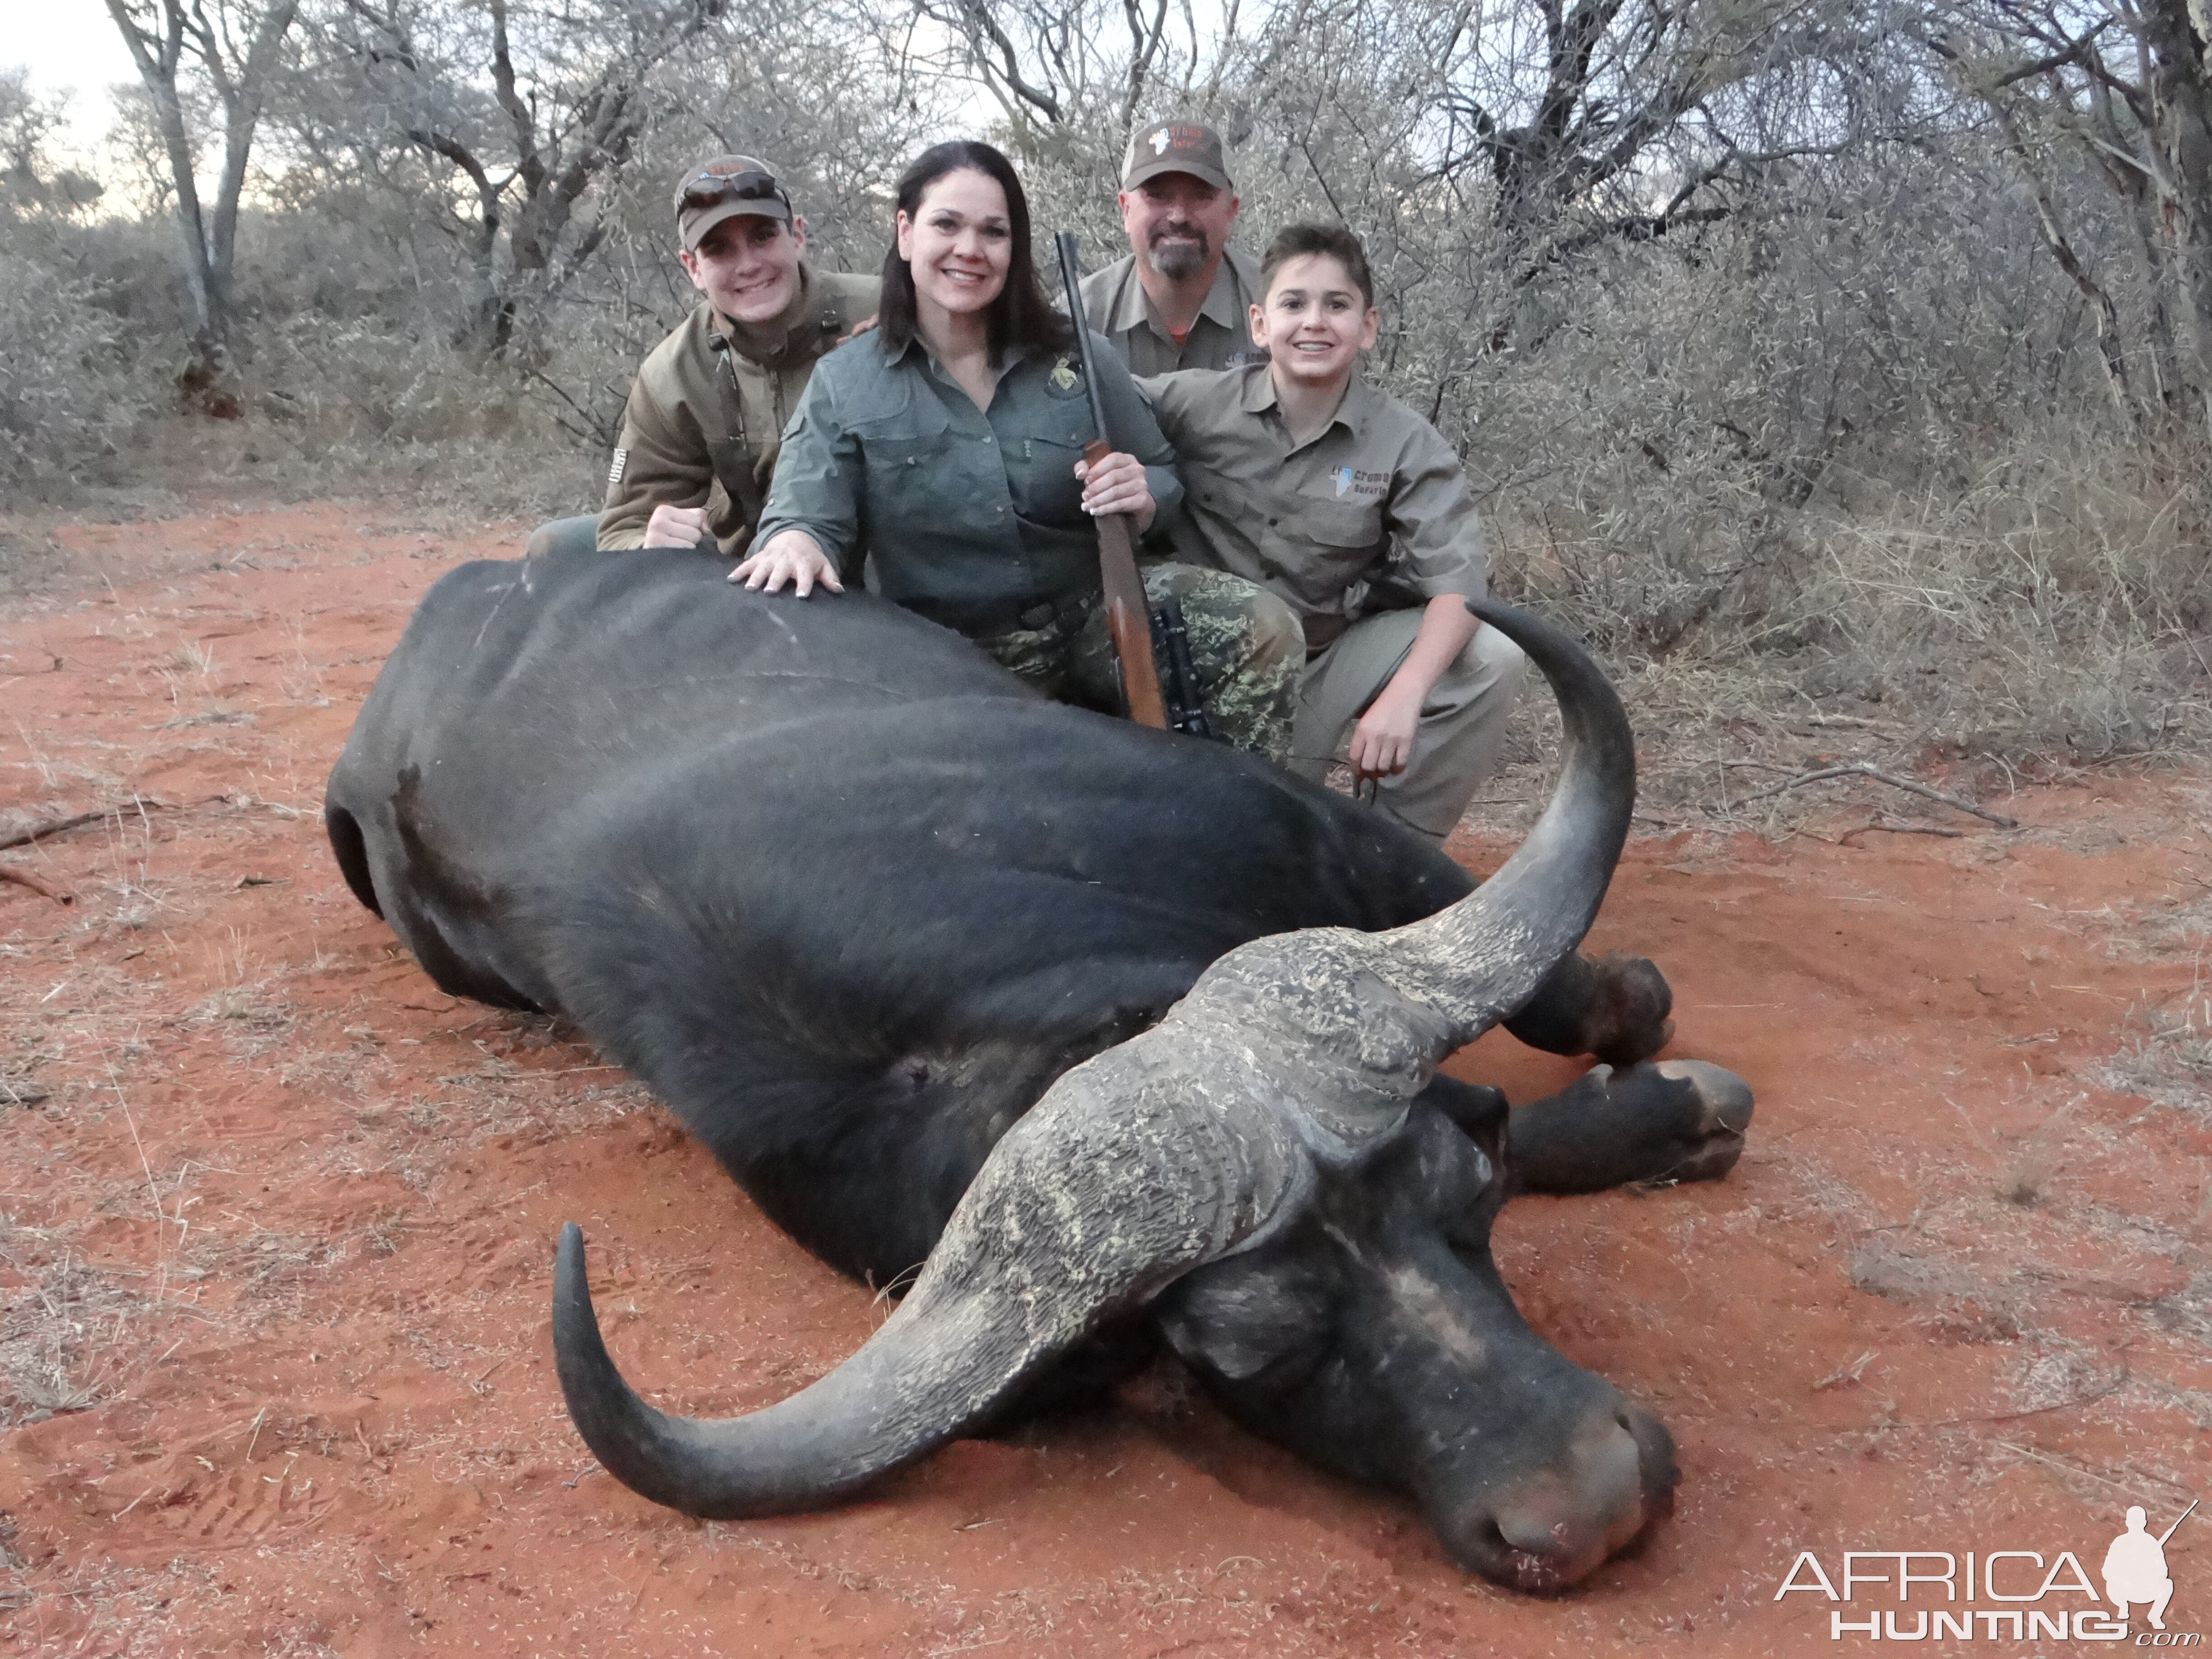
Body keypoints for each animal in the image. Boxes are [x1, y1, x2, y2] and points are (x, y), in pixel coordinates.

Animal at [323, 548, 1743, 1601]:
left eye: (1470, 1200)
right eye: (1244, 1354)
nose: (1591, 1503)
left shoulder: (1330, 839)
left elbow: (1589, 999)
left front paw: (1662, 1088)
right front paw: (1669, 1109)